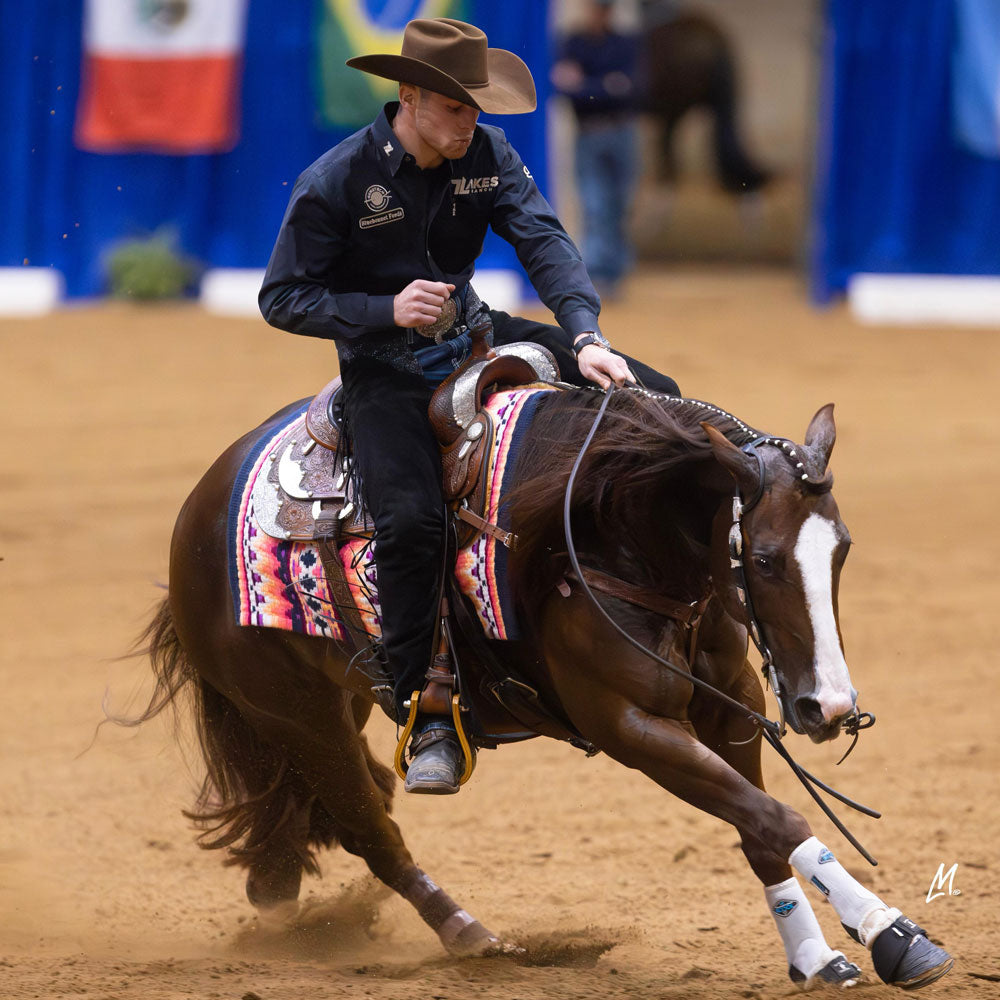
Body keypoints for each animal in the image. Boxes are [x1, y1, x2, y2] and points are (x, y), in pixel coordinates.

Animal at [131, 381, 953, 991]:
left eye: (841, 549)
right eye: (769, 559)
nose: (829, 708)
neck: (612, 531)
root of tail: (196, 511)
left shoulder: (733, 713)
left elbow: (761, 831)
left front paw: (825, 953)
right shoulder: (631, 726)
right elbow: (778, 818)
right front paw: (889, 934)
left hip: (339, 700)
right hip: (297, 716)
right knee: (372, 831)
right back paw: (471, 934)